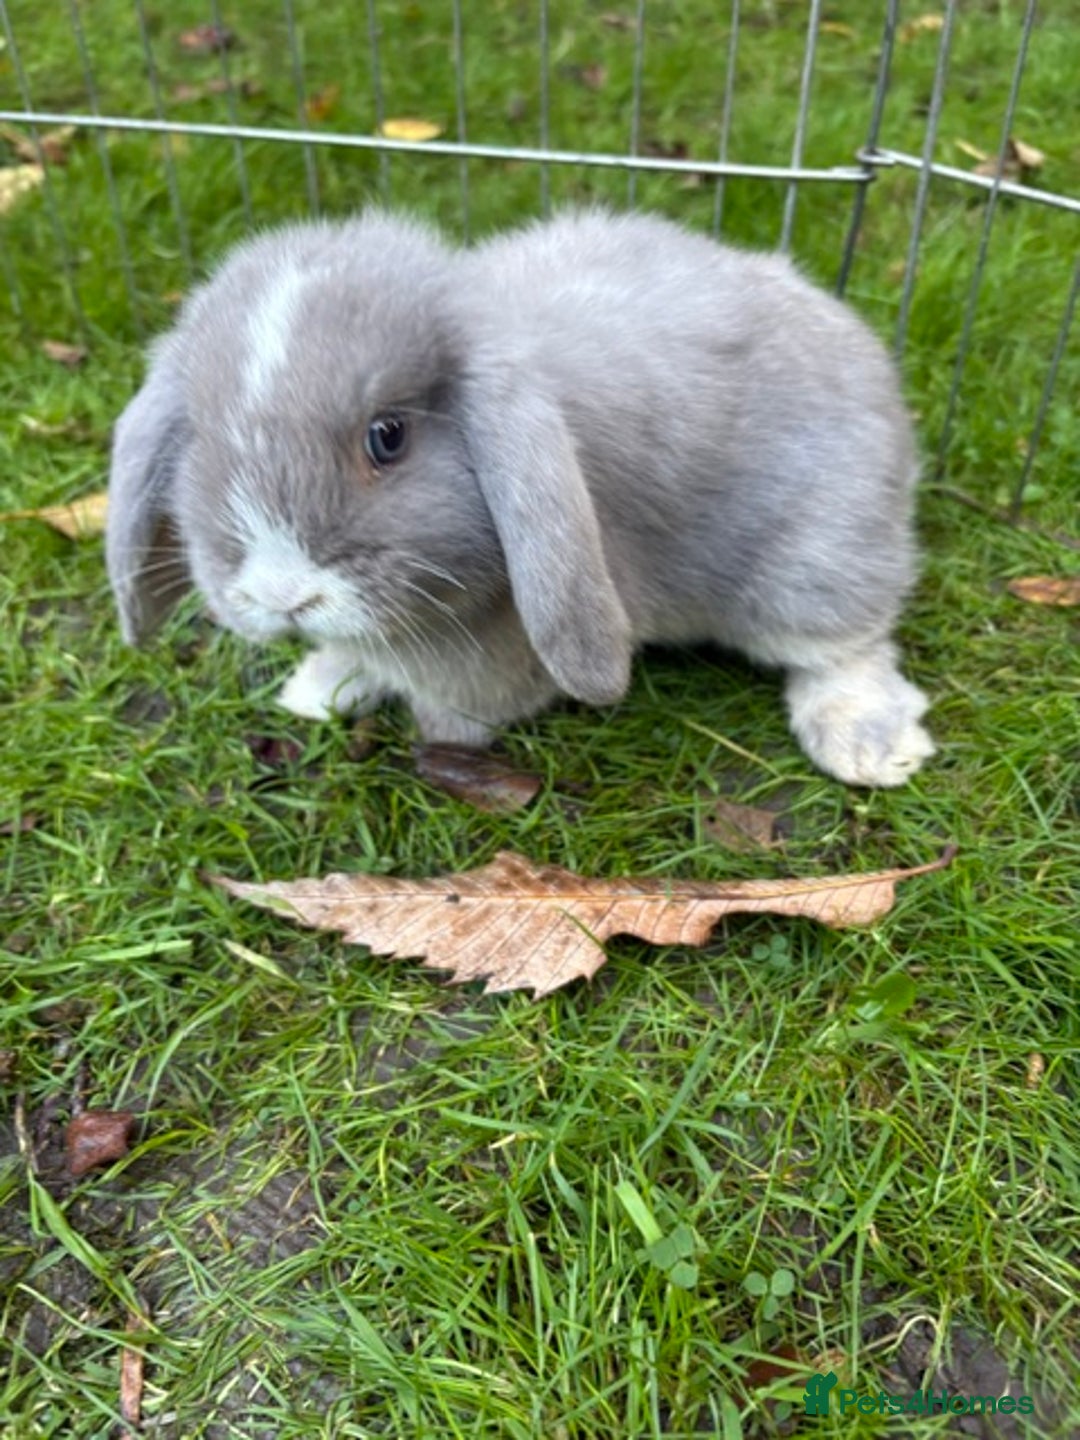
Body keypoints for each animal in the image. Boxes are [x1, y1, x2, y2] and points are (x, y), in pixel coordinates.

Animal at [107, 208, 935, 787]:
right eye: (202, 438)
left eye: (388, 437)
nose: (283, 595)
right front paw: (320, 687)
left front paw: (439, 730)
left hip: (816, 560)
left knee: (848, 645)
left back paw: (870, 746)